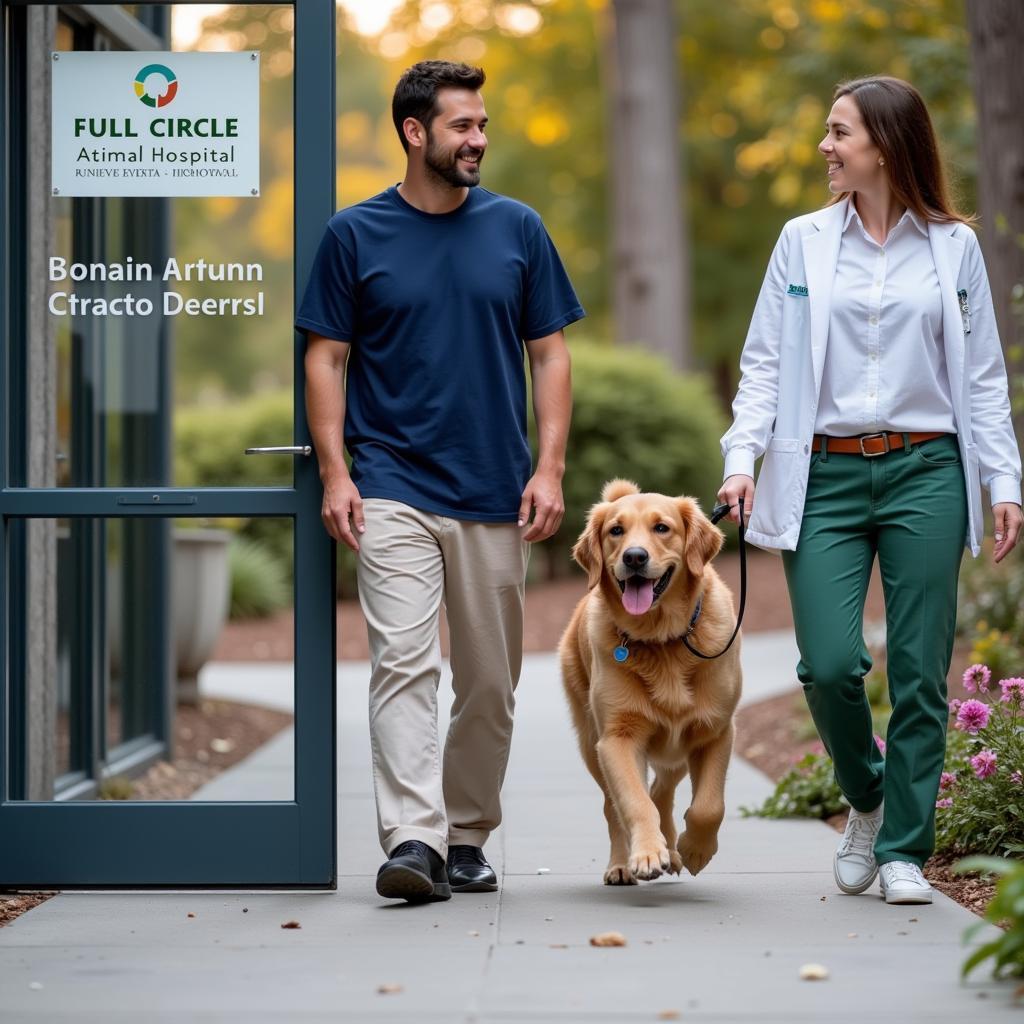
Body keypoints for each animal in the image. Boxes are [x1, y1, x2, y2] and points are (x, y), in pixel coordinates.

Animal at [561, 475, 745, 884]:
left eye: (662, 528)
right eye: (616, 531)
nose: (634, 557)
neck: (662, 639)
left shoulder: (716, 730)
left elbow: (709, 805)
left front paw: (695, 849)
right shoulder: (616, 739)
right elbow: (634, 801)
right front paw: (646, 854)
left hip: (676, 748)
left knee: (662, 790)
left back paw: (674, 849)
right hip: (590, 743)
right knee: (615, 805)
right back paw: (622, 864)